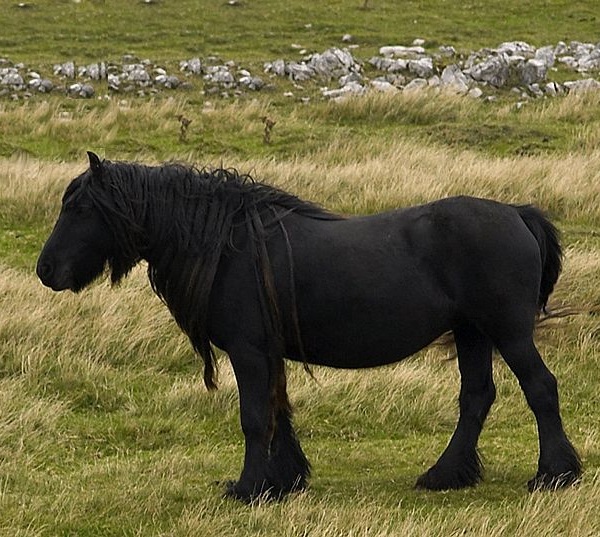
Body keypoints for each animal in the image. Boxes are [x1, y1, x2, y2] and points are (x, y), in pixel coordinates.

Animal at [37, 152, 580, 502]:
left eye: (80, 208)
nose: (46, 271)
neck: (229, 247)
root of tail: (516, 213)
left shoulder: (249, 351)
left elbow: (255, 417)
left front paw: (249, 488)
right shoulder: (267, 352)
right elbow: (279, 412)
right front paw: (285, 481)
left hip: (507, 332)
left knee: (540, 388)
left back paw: (554, 475)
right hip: (472, 333)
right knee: (476, 398)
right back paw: (445, 475)